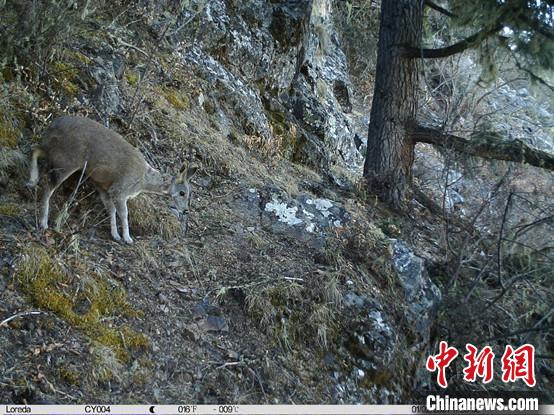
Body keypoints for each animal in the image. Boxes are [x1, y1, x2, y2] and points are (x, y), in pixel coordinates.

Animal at [28, 115, 196, 245]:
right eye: (183, 193)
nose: (186, 210)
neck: (143, 180)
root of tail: (53, 125)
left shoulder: (104, 187)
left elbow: (111, 210)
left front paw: (115, 235)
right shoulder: (120, 190)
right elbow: (124, 214)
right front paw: (127, 238)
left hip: (56, 153)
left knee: (35, 148)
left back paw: (31, 180)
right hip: (69, 160)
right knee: (48, 186)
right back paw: (43, 222)